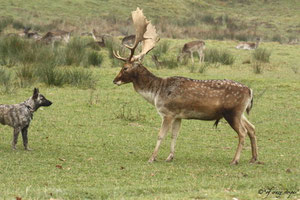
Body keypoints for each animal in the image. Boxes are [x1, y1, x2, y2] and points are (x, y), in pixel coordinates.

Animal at [112, 7, 258, 165]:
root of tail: (250, 91)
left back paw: (235, 160)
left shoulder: (168, 113)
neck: (156, 92)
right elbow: (175, 135)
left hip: (232, 112)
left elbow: (160, 135)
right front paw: (170, 156)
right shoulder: (178, 116)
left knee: (243, 132)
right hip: (240, 112)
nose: (115, 80)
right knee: (252, 128)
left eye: (125, 68)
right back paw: (254, 158)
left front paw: (152, 158)